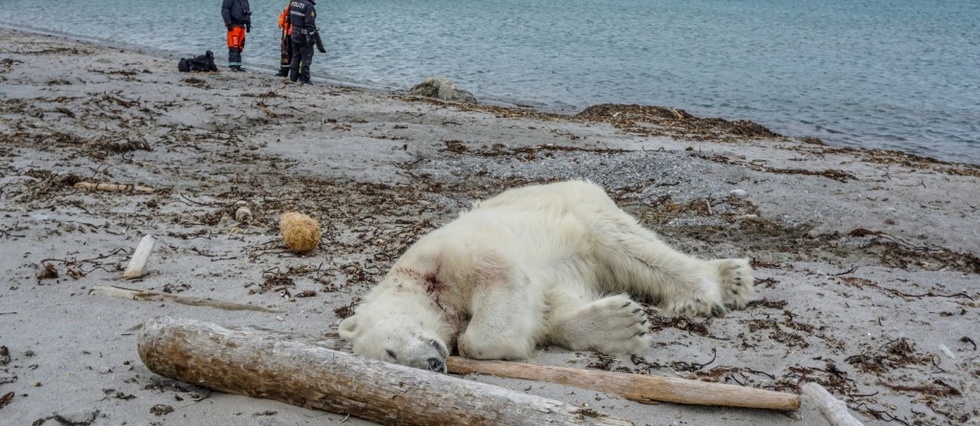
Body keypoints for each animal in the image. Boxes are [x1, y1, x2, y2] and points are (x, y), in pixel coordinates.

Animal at [340, 180, 756, 372]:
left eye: (390, 352)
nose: (433, 363)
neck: (421, 283)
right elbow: (551, 308)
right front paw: (621, 324)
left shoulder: (451, 253)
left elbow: (498, 283)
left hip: (581, 209)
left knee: (629, 247)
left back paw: (720, 283)